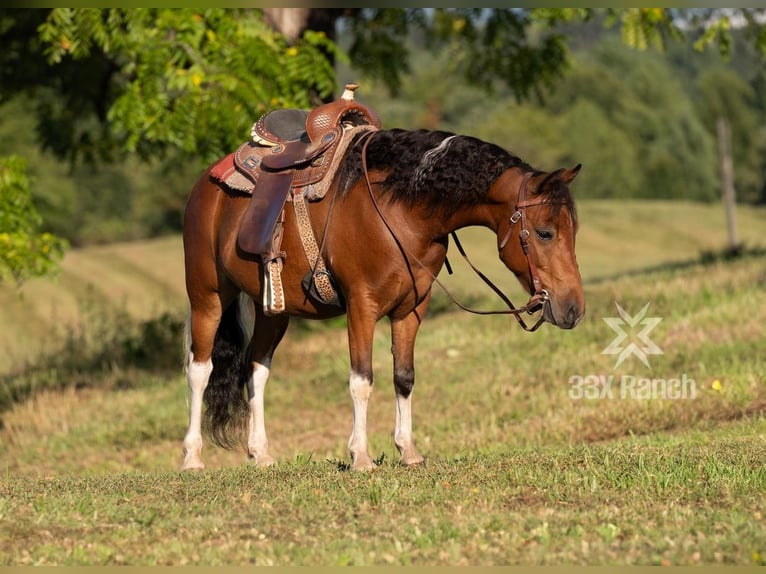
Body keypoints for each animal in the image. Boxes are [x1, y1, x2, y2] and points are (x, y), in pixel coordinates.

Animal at [182, 129, 588, 472]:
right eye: (545, 232)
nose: (573, 309)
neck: (401, 210)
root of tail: (207, 184)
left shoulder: (411, 309)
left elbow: (404, 377)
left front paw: (408, 451)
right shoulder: (362, 306)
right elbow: (362, 379)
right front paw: (360, 456)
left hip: (273, 311)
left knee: (256, 370)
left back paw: (261, 454)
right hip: (208, 297)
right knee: (200, 370)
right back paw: (192, 457)